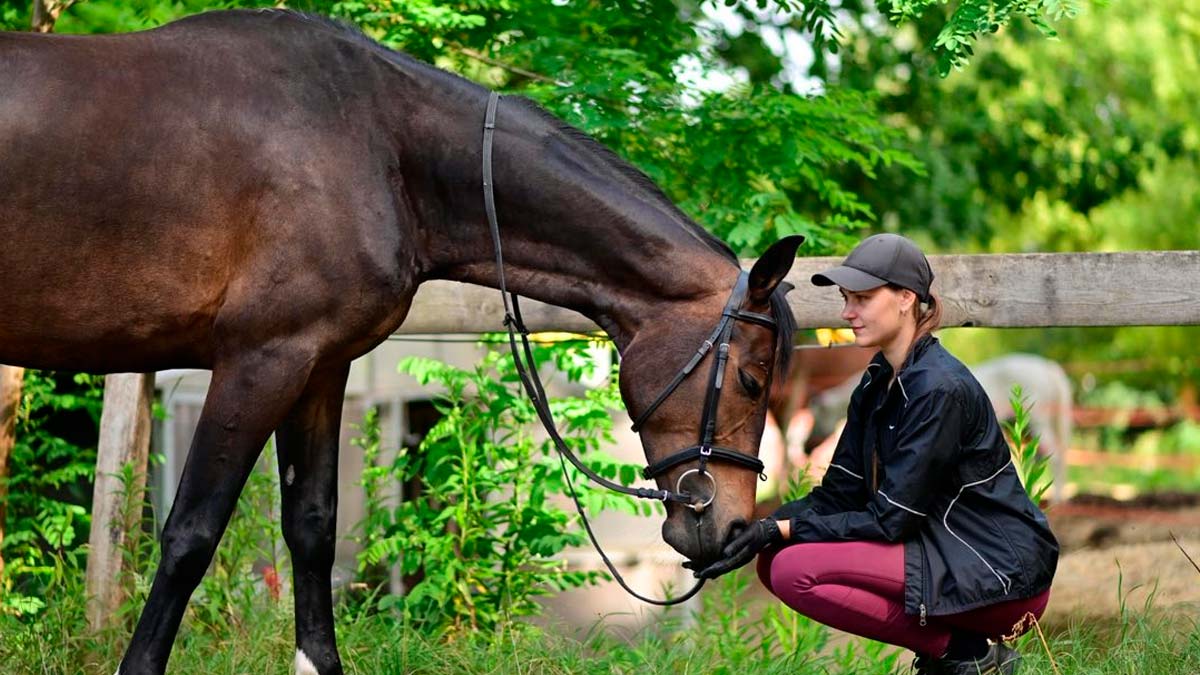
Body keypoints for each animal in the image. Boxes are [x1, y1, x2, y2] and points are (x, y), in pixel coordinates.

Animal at [0, 10, 801, 674]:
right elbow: (190, 534)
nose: (733, 526)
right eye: (751, 378)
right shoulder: (259, 362)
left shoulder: (317, 367)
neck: (374, 141)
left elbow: (312, 528)